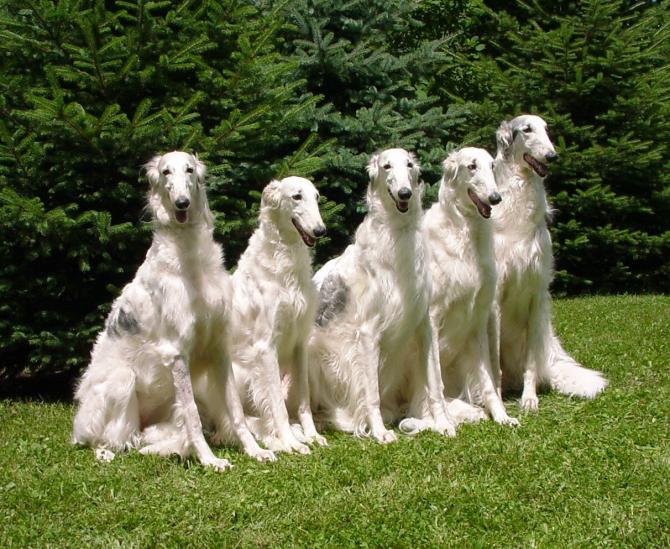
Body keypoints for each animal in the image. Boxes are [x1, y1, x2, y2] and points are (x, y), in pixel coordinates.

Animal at [71, 151, 276, 470]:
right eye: (166, 172)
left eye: (189, 170)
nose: (182, 203)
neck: (190, 258)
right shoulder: (177, 352)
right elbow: (192, 415)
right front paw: (210, 460)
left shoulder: (219, 347)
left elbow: (236, 409)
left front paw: (255, 450)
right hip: (121, 381)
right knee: (104, 441)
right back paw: (107, 452)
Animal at [232, 177, 330, 454]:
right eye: (297, 196)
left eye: (317, 197)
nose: (320, 230)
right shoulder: (266, 348)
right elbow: (277, 406)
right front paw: (290, 442)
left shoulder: (300, 342)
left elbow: (303, 402)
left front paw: (311, 435)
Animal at [310, 146, 456, 440]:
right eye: (386, 166)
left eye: (409, 165)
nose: (405, 193)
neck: (397, 236)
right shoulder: (368, 332)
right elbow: (372, 393)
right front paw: (379, 432)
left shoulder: (424, 324)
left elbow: (435, 384)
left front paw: (443, 423)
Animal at [426, 148, 520, 426]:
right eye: (471, 166)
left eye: (492, 166)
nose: (495, 198)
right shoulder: (432, 317)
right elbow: (434, 381)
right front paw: (442, 422)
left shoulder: (477, 319)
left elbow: (488, 380)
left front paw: (502, 416)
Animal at [494, 113, 608, 408]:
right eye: (526, 129)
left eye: (547, 129)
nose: (552, 156)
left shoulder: (537, 294)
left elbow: (531, 367)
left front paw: (529, 399)